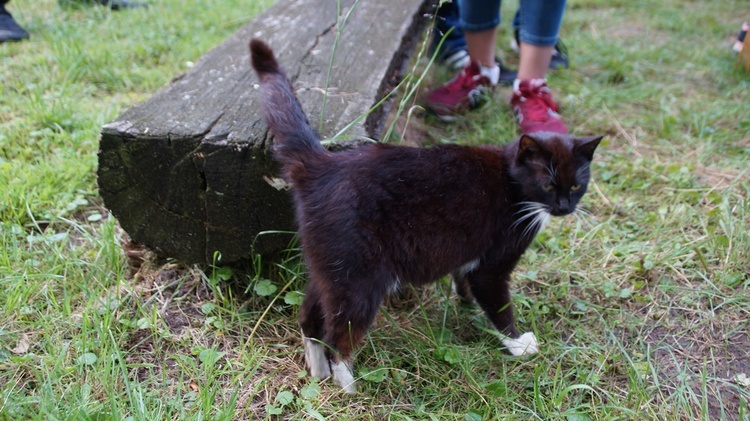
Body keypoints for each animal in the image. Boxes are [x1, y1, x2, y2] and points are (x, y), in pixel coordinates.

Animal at [253, 37, 604, 392]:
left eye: (576, 185)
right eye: (548, 184)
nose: (564, 207)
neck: (513, 181)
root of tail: (322, 164)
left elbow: (466, 278)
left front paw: (466, 303)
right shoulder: (497, 256)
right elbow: (496, 298)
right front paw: (518, 343)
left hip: (330, 263)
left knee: (309, 316)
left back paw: (318, 371)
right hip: (360, 273)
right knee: (338, 335)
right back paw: (350, 385)